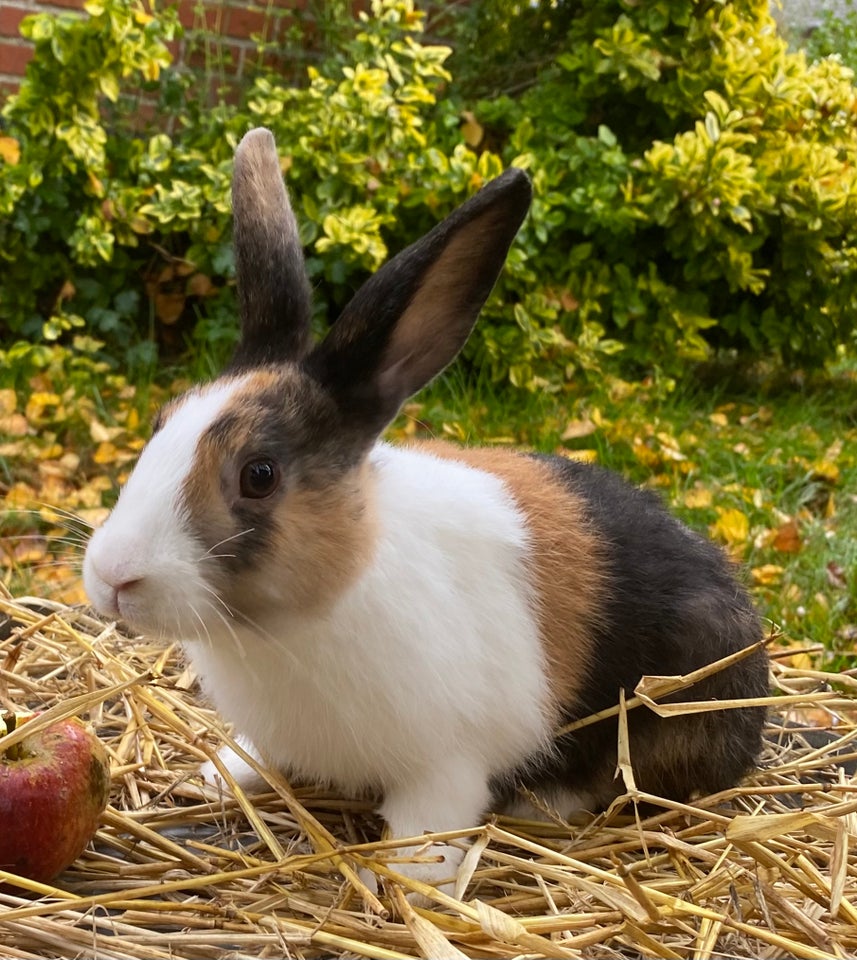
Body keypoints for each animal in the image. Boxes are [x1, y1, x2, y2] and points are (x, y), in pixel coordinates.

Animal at [85, 127, 768, 900]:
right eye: (160, 422)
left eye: (259, 475)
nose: (112, 576)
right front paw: (219, 773)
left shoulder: (447, 764)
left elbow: (430, 816)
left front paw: (410, 874)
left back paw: (544, 801)